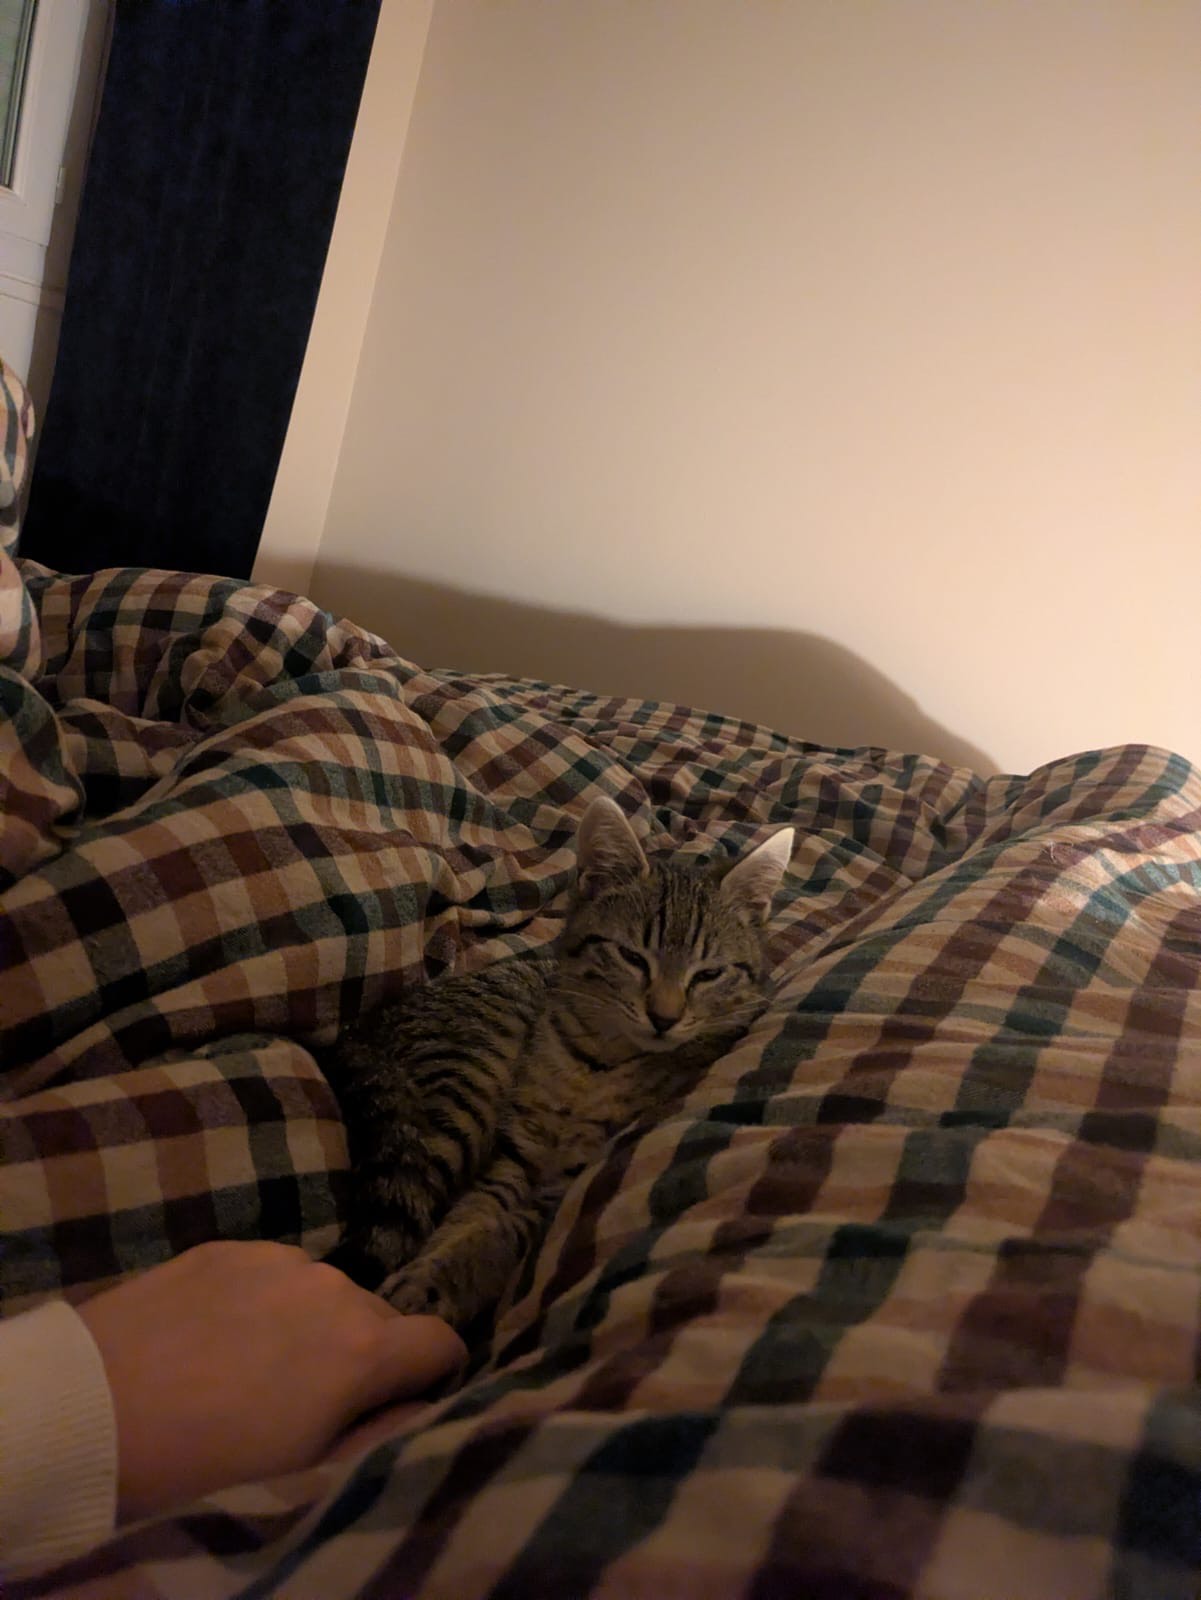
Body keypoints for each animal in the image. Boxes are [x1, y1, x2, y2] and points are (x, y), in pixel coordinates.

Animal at [322, 796, 794, 1330]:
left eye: (709, 974)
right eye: (632, 957)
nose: (664, 1018)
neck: (597, 1063)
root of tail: (363, 1029)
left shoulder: (557, 1190)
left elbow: (496, 1236)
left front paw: (437, 1280)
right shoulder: (513, 1160)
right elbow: (466, 1217)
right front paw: (430, 1271)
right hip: (467, 1090)